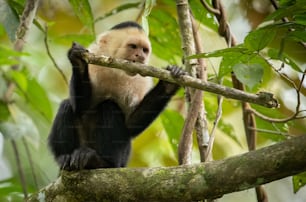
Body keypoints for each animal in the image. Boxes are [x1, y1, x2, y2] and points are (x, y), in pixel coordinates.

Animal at [47, 21, 184, 170]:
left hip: (122, 159)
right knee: (67, 105)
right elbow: (80, 108)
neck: (116, 71)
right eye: (133, 47)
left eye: (144, 50)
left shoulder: (142, 80)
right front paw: (78, 61)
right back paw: (65, 158)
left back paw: (102, 162)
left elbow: (131, 124)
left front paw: (168, 84)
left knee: (109, 106)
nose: (141, 57)